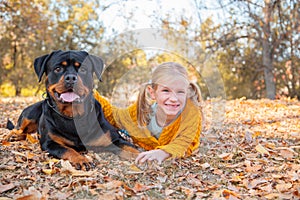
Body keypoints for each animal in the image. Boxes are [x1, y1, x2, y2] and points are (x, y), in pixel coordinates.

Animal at [4, 50, 138, 170]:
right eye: (58, 69)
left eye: (83, 69)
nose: (71, 77)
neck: (74, 115)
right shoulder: (50, 143)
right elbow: (68, 150)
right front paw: (81, 160)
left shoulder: (115, 139)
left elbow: (131, 147)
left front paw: (139, 155)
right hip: (28, 115)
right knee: (17, 129)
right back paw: (11, 137)